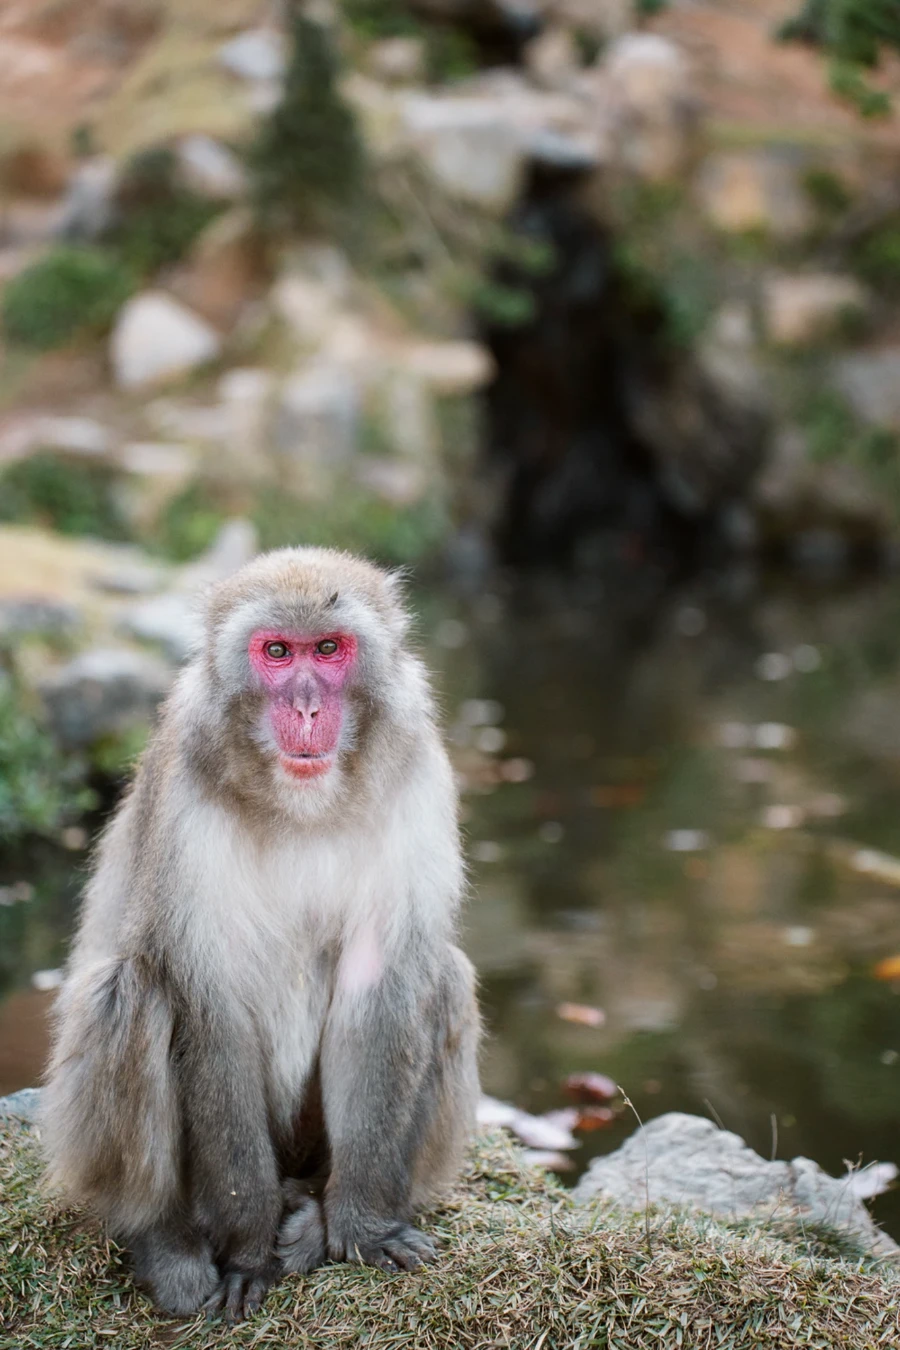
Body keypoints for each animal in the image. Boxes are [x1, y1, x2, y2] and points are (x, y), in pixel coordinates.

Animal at [41, 546, 480, 1321]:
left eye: (328, 650)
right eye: (277, 653)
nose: (306, 707)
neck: (301, 804)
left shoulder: (418, 774)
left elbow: (382, 983)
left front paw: (363, 1225)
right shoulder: (185, 793)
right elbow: (209, 1004)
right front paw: (247, 1252)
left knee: (445, 978)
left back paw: (312, 1205)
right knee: (129, 991)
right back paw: (167, 1240)